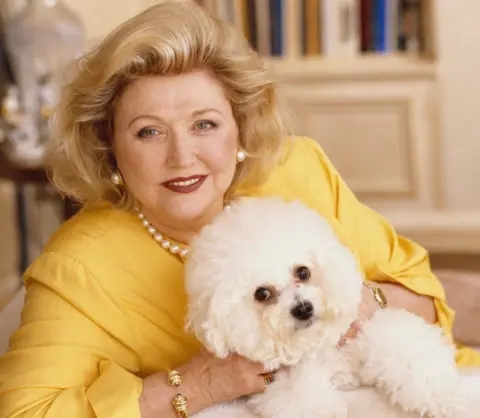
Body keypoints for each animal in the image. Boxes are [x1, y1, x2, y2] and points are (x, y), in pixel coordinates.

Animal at [183, 197, 464, 418]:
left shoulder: (370, 331)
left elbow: (414, 363)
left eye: (303, 272)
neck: (316, 345)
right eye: (262, 293)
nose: (303, 308)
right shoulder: (288, 390)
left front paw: (451, 398)